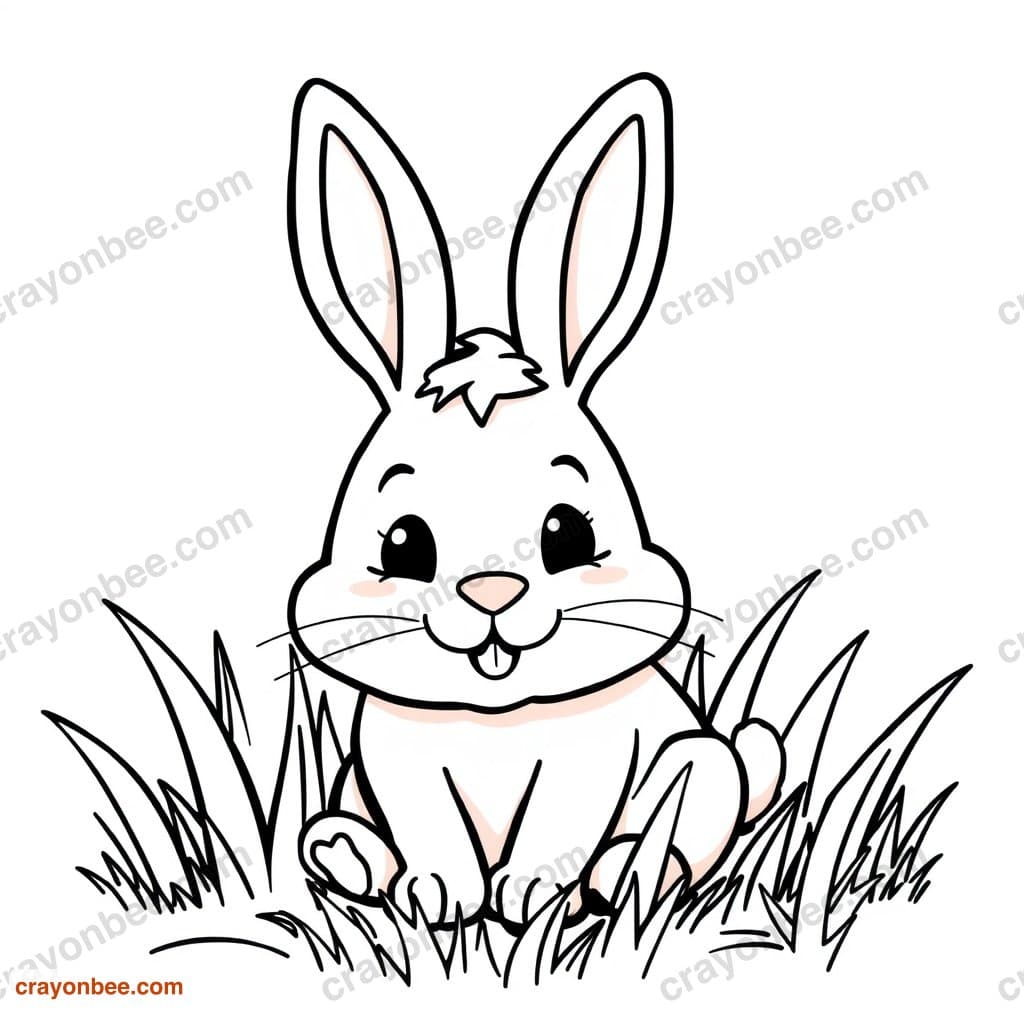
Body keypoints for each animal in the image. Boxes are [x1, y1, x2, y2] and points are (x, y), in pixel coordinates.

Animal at [286, 73, 784, 930]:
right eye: (402, 544)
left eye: (568, 535)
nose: (493, 592)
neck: (497, 722)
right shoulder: (396, 762)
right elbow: (434, 832)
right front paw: (440, 897)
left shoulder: (590, 762)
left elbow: (558, 826)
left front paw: (529, 899)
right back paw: (347, 856)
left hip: (700, 765)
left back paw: (626, 878)